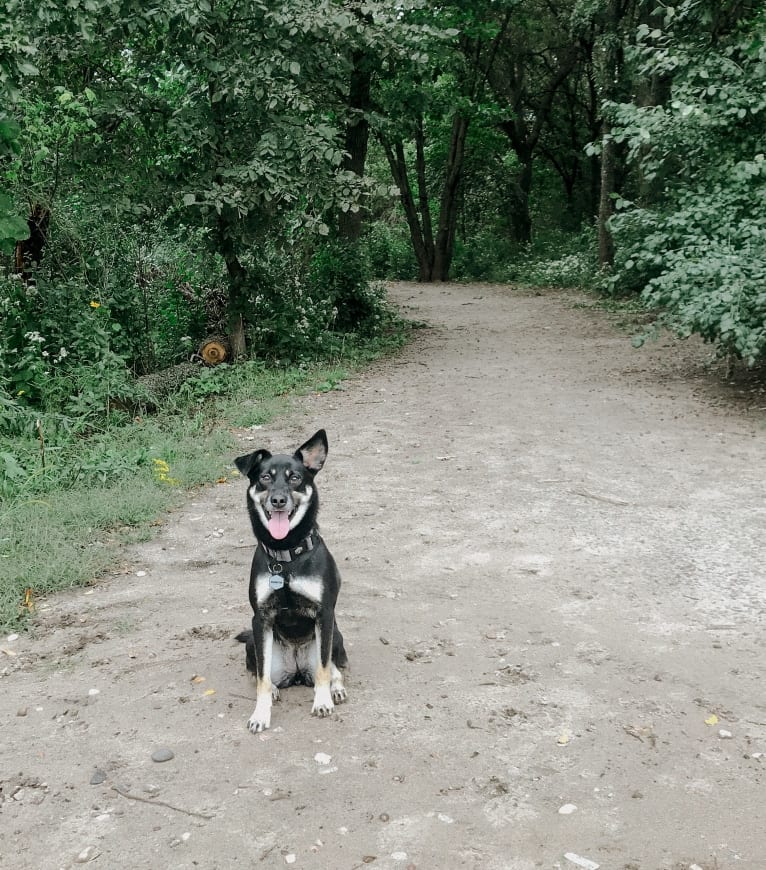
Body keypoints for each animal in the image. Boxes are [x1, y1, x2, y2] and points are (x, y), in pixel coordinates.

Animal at [236, 432, 350, 732]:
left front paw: (323, 701)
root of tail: (297, 670)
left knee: (332, 666)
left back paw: (336, 688)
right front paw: (260, 714)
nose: (278, 500)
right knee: (260, 673)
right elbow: (261, 678)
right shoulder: (261, 618)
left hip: (336, 634)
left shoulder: (324, 614)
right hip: (252, 641)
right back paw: (276, 689)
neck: (285, 557)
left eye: (295, 477)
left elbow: (323, 668)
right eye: (265, 477)